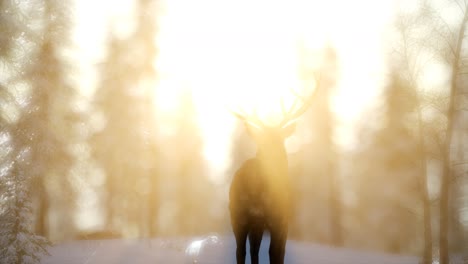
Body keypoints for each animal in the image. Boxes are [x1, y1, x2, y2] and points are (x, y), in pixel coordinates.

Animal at [229, 84, 318, 264]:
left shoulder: (270, 221)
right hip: (240, 215)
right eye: (262, 142)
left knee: (248, 251)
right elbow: (278, 253)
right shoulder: (283, 219)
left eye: (279, 140)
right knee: (247, 250)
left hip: (248, 220)